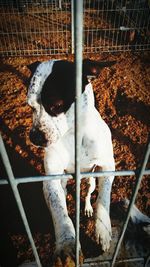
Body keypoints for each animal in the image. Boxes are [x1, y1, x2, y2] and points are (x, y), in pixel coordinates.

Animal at [27, 59, 150, 266]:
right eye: (30, 106)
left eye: (56, 105)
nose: (34, 137)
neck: (73, 135)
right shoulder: (51, 179)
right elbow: (59, 211)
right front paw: (66, 243)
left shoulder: (107, 167)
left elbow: (104, 199)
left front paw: (103, 229)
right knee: (64, 194)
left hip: (90, 181)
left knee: (88, 194)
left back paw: (87, 208)